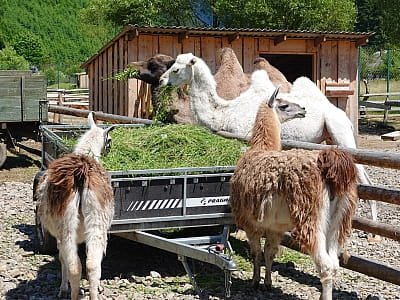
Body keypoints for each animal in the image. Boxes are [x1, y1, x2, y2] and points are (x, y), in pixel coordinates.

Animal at [230, 86, 358, 298]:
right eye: (284, 105)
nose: (303, 109)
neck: (259, 149)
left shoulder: (250, 221)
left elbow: (256, 252)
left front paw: (255, 281)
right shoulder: (276, 226)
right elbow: (269, 252)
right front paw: (267, 283)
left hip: (311, 216)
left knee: (324, 264)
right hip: (339, 220)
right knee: (333, 263)